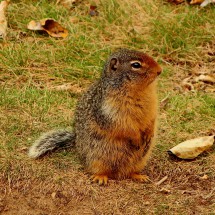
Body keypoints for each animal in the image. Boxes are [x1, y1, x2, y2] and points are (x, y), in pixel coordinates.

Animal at [28, 48, 161, 185]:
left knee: (129, 172)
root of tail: (76, 141)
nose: (159, 70)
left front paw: (149, 133)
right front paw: (137, 138)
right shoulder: (112, 112)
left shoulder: (152, 107)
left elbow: (151, 119)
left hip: (140, 160)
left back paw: (139, 176)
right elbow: (126, 126)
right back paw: (100, 177)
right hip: (97, 158)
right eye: (136, 65)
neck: (140, 91)